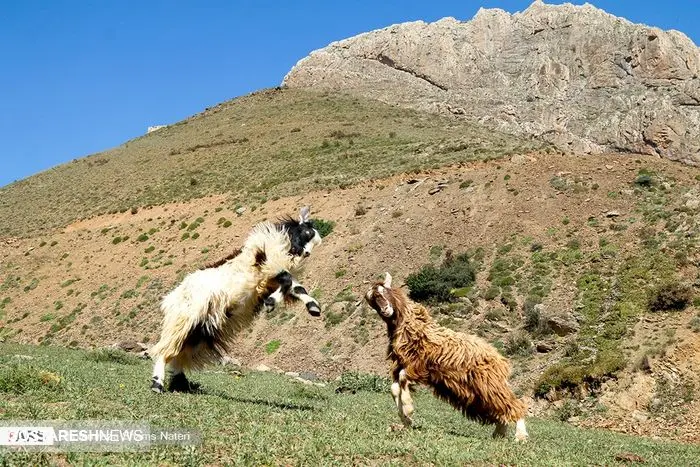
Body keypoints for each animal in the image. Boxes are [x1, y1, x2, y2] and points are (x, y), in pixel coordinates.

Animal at [364, 272, 528, 440]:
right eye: (372, 302)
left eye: (384, 292)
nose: (385, 310)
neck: (413, 326)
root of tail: (500, 359)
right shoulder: (401, 364)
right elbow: (394, 388)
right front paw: (406, 419)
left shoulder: (418, 365)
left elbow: (403, 379)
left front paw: (408, 409)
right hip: (481, 392)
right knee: (502, 407)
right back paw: (499, 434)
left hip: (489, 384)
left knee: (514, 404)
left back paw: (520, 436)